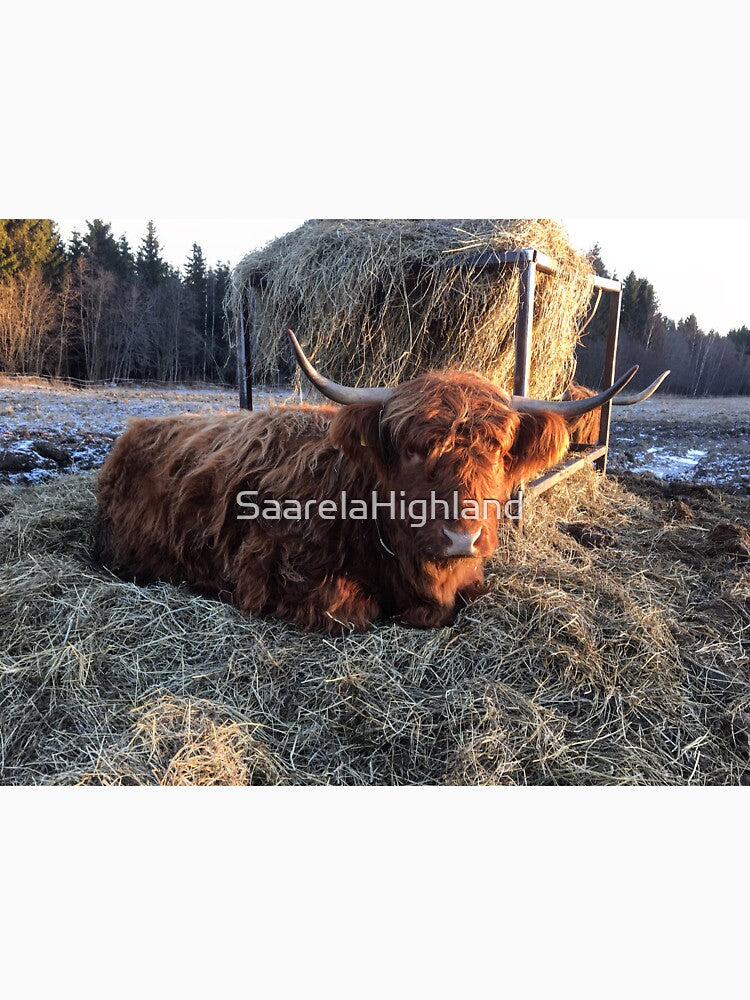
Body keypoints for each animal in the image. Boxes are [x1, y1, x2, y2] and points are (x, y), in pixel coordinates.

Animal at [94, 331, 638, 633]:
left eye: (501, 452)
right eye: (415, 449)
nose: (462, 538)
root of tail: (138, 427)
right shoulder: (267, 573)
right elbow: (357, 607)